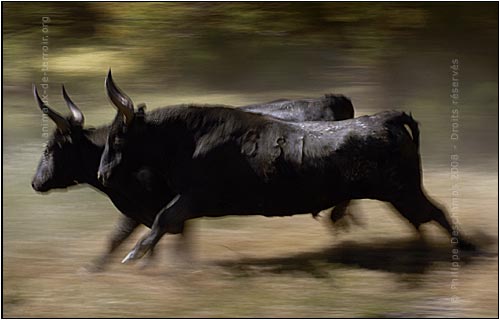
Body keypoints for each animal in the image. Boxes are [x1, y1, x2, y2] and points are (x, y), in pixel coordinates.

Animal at [31, 84, 356, 270]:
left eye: (48, 149)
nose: (35, 182)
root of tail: (331, 99)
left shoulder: (163, 205)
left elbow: (145, 236)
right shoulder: (147, 209)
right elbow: (123, 238)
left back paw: (340, 219)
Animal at [96, 78, 472, 264]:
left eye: (117, 137)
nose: (102, 175)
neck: (190, 138)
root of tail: (385, 118)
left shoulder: (193, 197)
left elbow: (162, 219)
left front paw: (135, 253)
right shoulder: (188, 200)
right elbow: (164, 221)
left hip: (404, 191)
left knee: (435, 213)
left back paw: (466, 248)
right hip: (402, 194)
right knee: (423, 219)